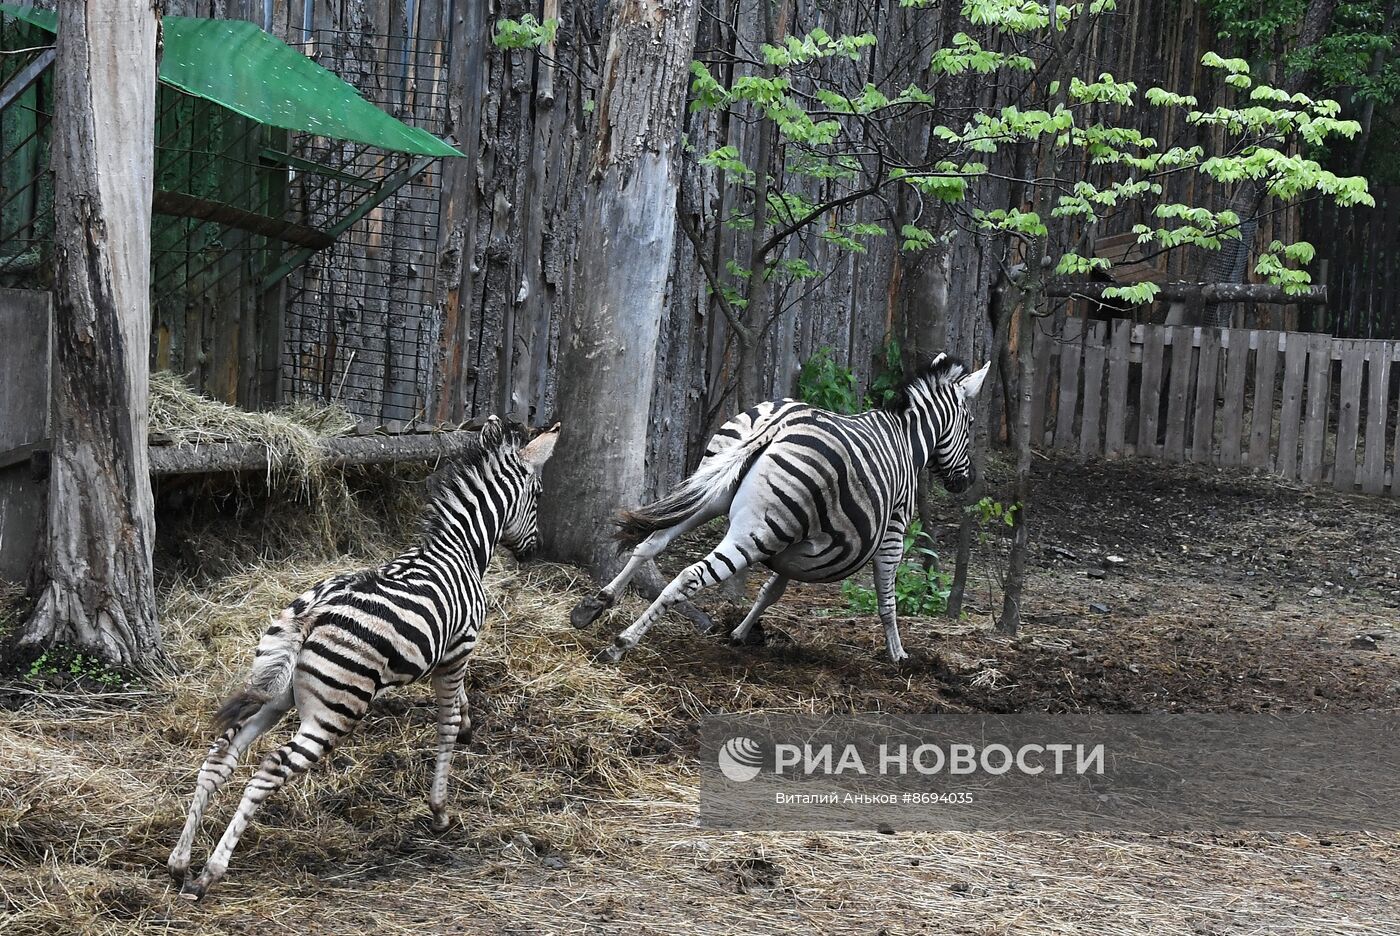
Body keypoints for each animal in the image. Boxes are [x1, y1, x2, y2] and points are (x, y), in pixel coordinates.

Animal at [166, 416, 554, 895]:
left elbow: (459, 706)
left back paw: (181, 861)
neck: (460, 549)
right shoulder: (459, 649)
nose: (534, 551)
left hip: (275, 692)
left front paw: (466, 724)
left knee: (221, 756)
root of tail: (315, 610)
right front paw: (440, 808)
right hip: (335, 710)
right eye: (538, 496)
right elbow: (445, 724)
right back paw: (210, 872)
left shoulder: (448, 656)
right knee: (270, 769)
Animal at [574, 352, 991, 663]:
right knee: (690, 575)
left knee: (651, 544)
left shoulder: (799, 543)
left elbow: (770, 591)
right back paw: (621, 643)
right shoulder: (893, 530)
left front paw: (740, 633)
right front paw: (898, 654)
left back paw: (595, 604)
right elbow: (887, 597)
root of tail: (778, 422)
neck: (906, 438)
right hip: (758, 530)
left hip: (716, 496)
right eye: (970, 421)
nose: (967, 481)